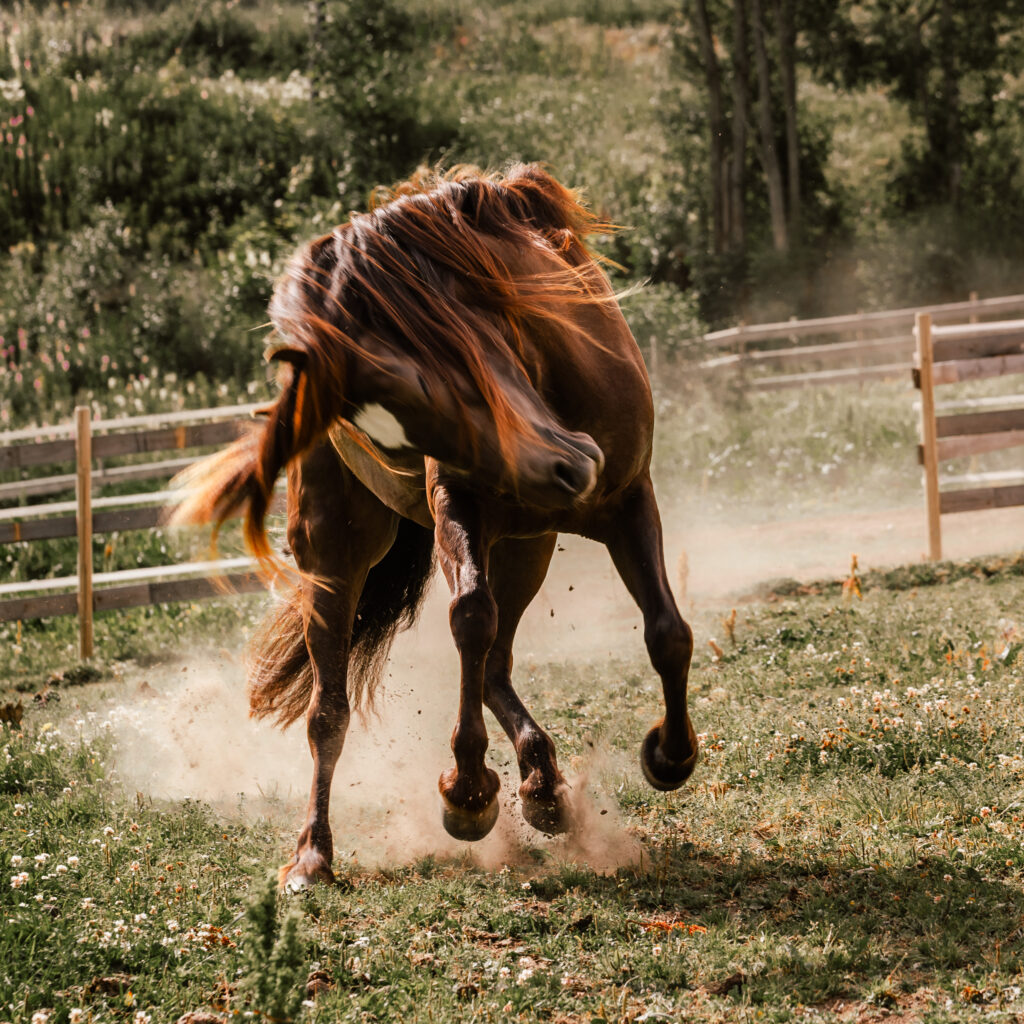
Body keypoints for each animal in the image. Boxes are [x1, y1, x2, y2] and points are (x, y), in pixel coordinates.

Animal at [176, 165, 700, 888]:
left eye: (430, 376)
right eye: (385, 418)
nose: (566, 468)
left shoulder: (627, 501)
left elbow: (667, 633)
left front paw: (670, 756)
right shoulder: (459, 505)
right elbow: (469, 619)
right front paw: (468, 793)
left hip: (529, 546)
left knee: (499, 664)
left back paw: (543, 787)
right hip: (337, 557)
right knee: (332, 710)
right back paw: (314, 854)